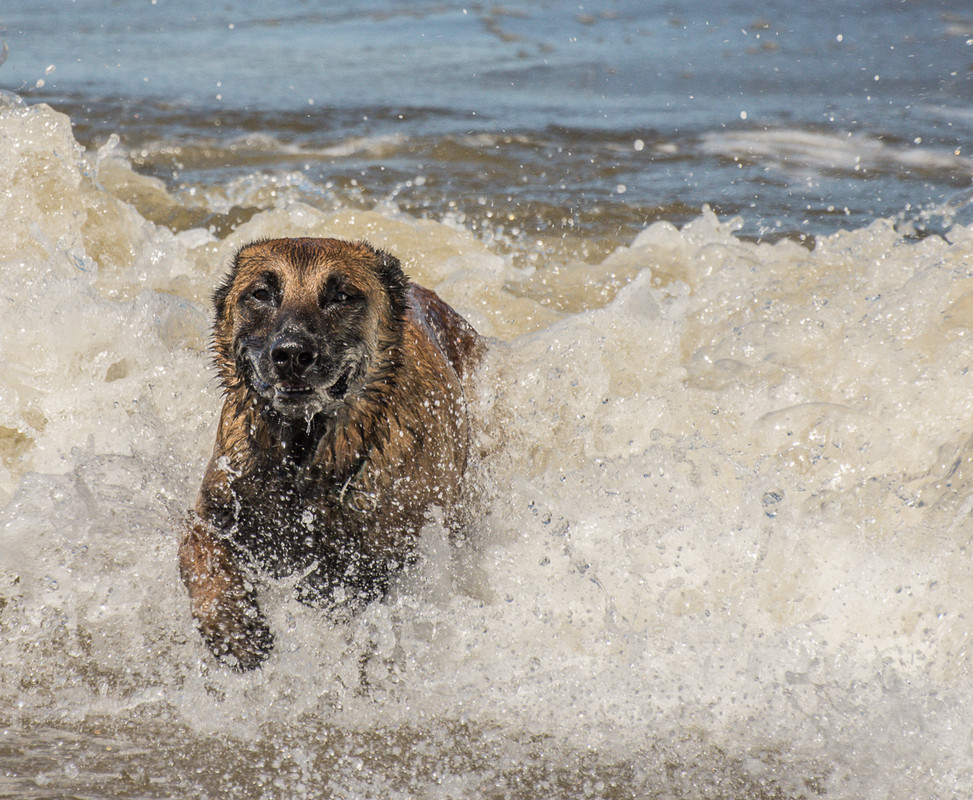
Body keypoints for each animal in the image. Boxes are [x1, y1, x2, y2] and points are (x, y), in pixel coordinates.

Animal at [178, 238, 482, 668]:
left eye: (340, 296)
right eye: (261, 293)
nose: (291, 353)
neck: (303, 456)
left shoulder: (376, 562)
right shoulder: (214, 515)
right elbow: (202, 559)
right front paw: (235, 628)